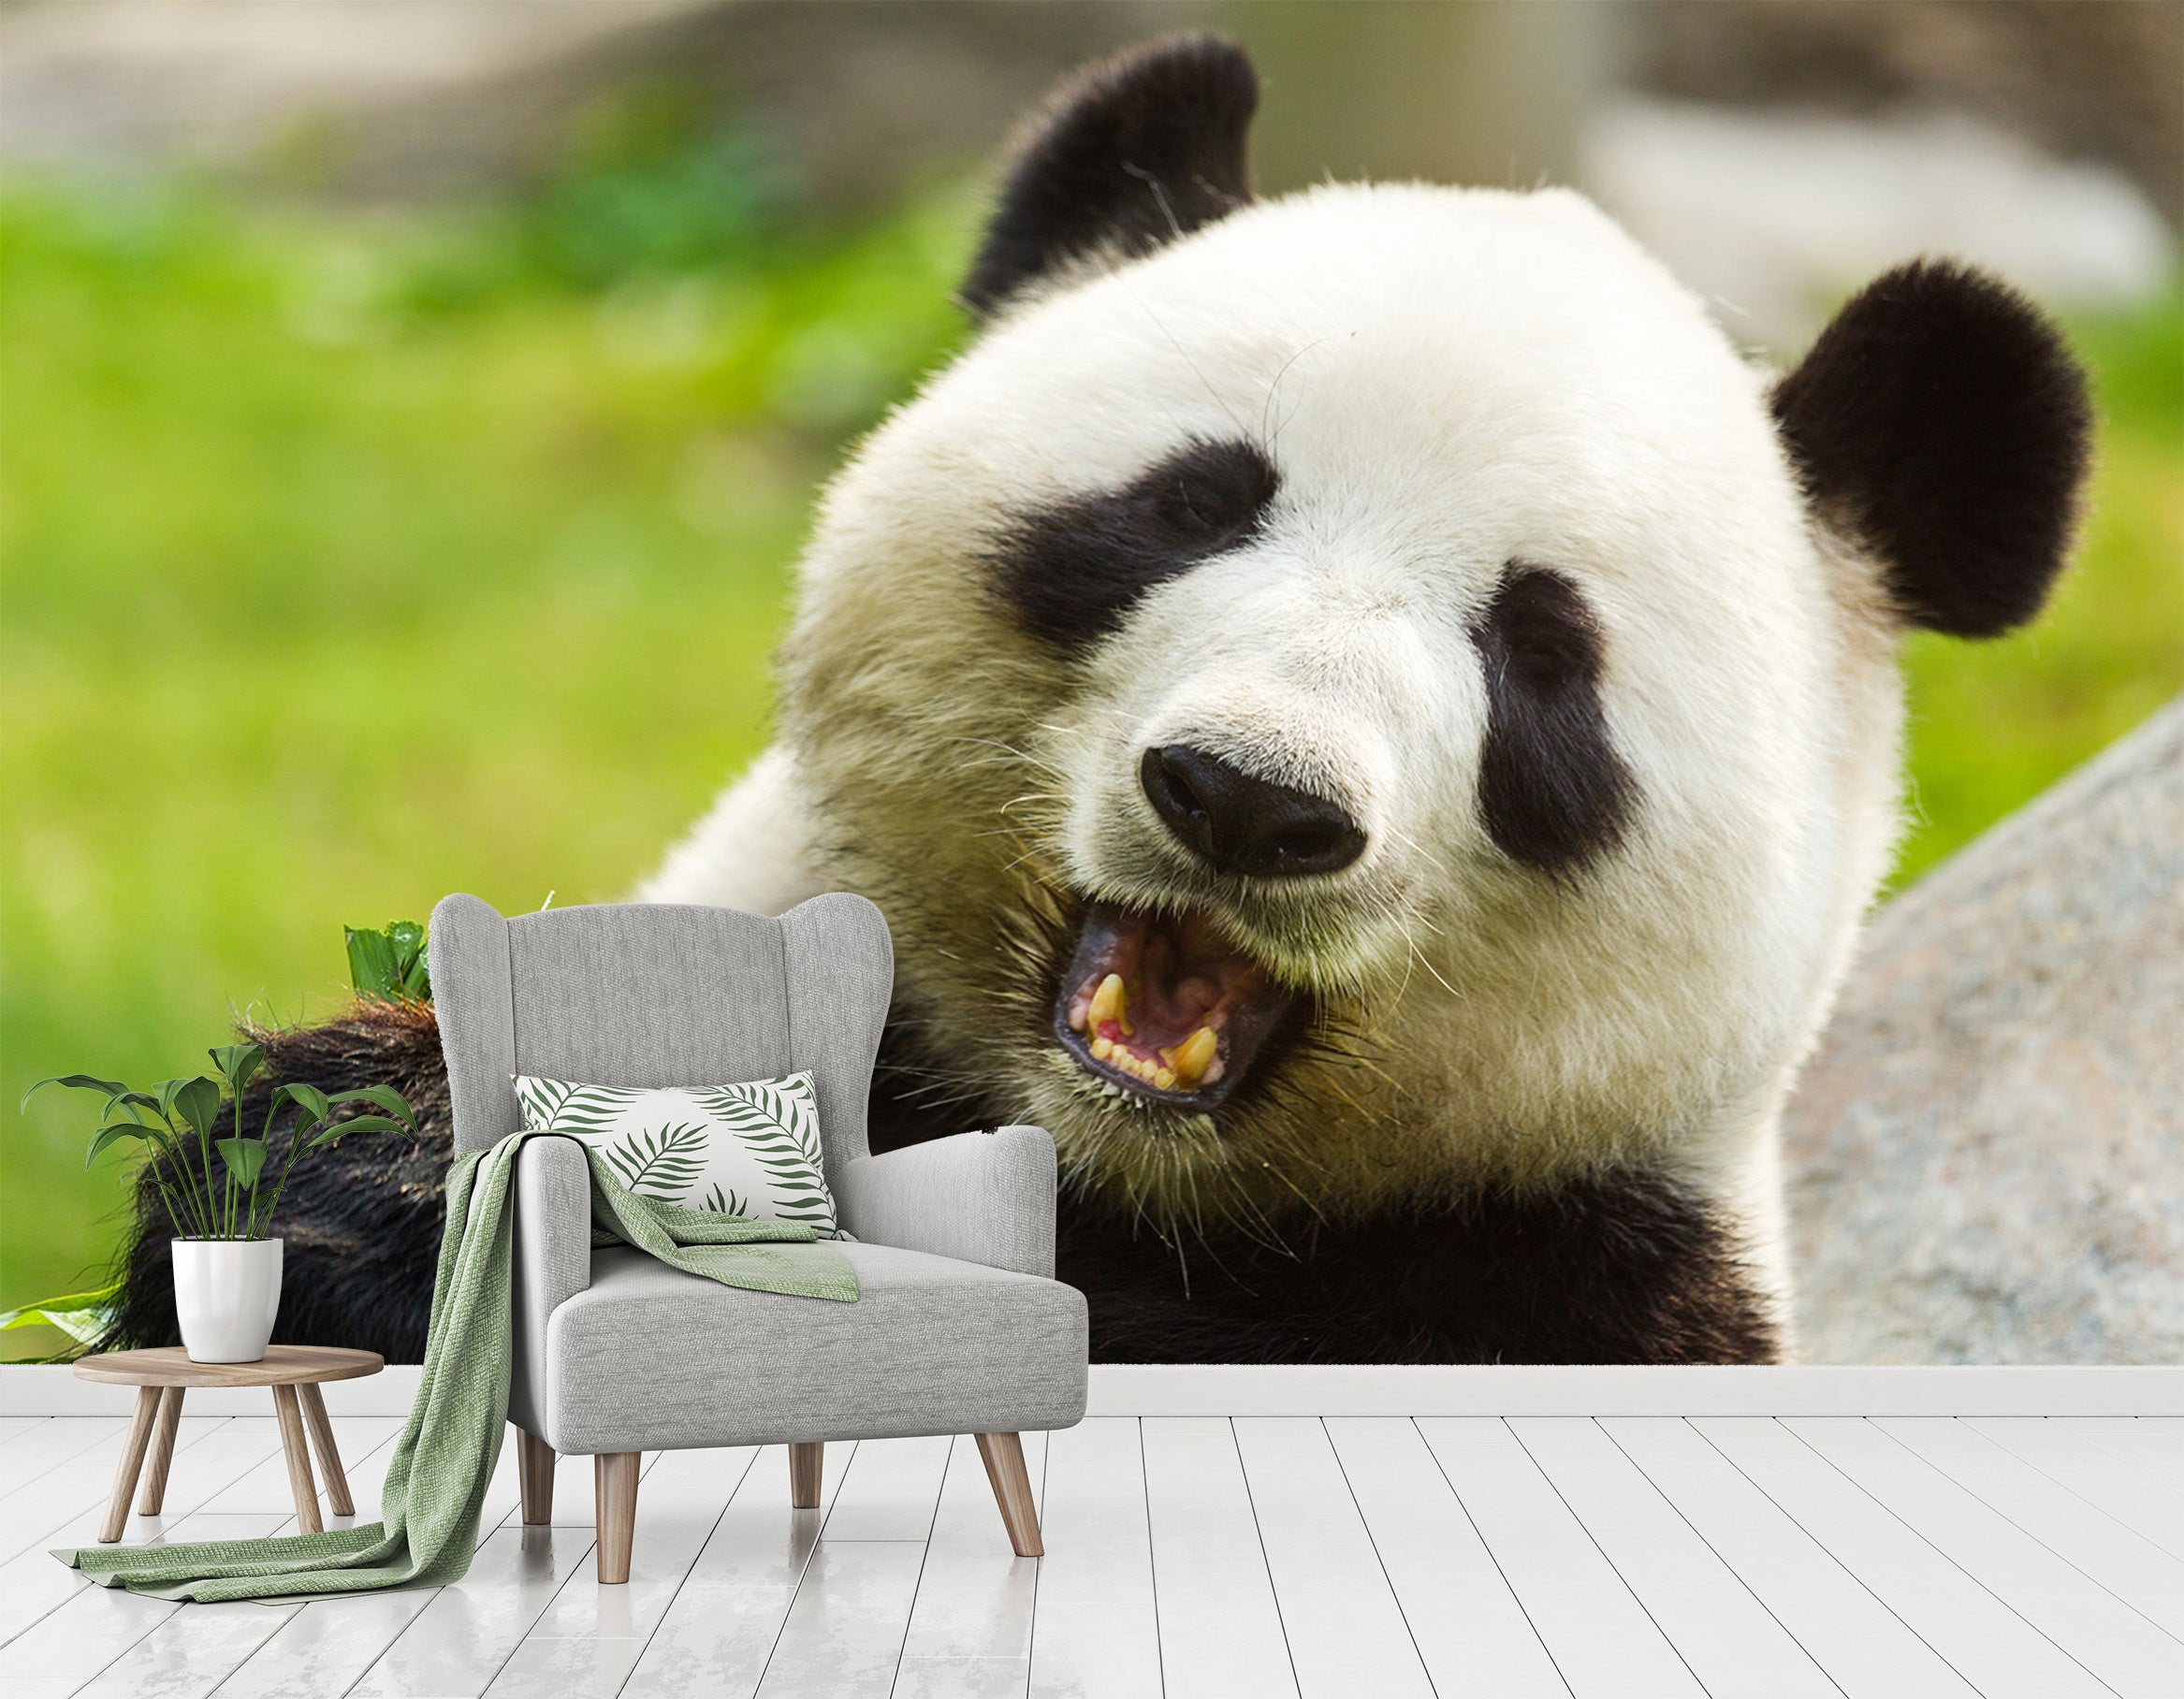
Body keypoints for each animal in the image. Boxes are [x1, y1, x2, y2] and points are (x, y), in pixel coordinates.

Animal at [108, 34, 2091, 1366]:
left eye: (1537, 651)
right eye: (1191, 504)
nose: (1249, 798)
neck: (1106, 1168)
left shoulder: (1577, 1267)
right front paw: (368, 1168)